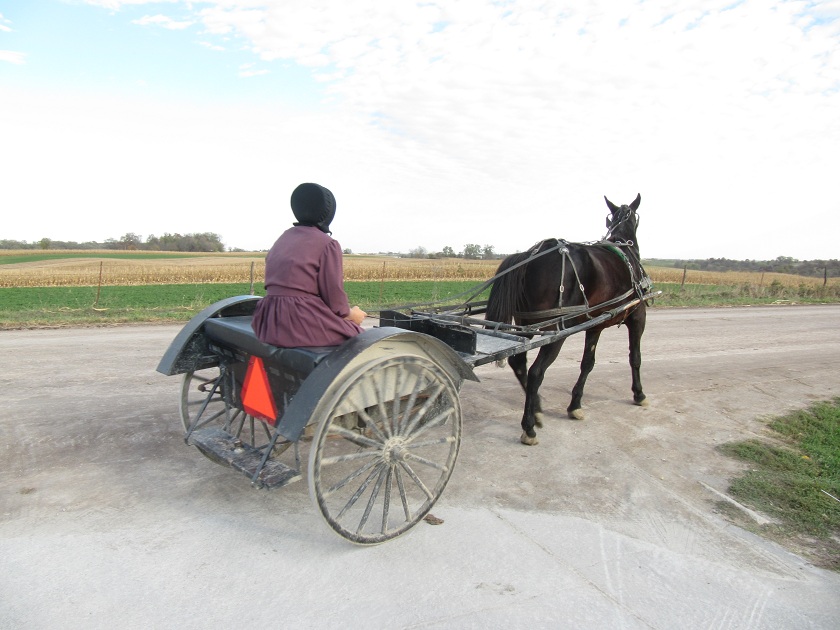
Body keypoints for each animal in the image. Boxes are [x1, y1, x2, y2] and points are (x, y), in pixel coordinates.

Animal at [486, 195, 648, 446]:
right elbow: (635, 358)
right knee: (536, 372)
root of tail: (530, 255)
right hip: (554, 330)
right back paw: (529, 427)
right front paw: (639, 394)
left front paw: (575, 405)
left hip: (527, 323)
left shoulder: (596, 325)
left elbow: (587, 363)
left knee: (518, 362)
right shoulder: (638, 316)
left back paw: (537, 409)